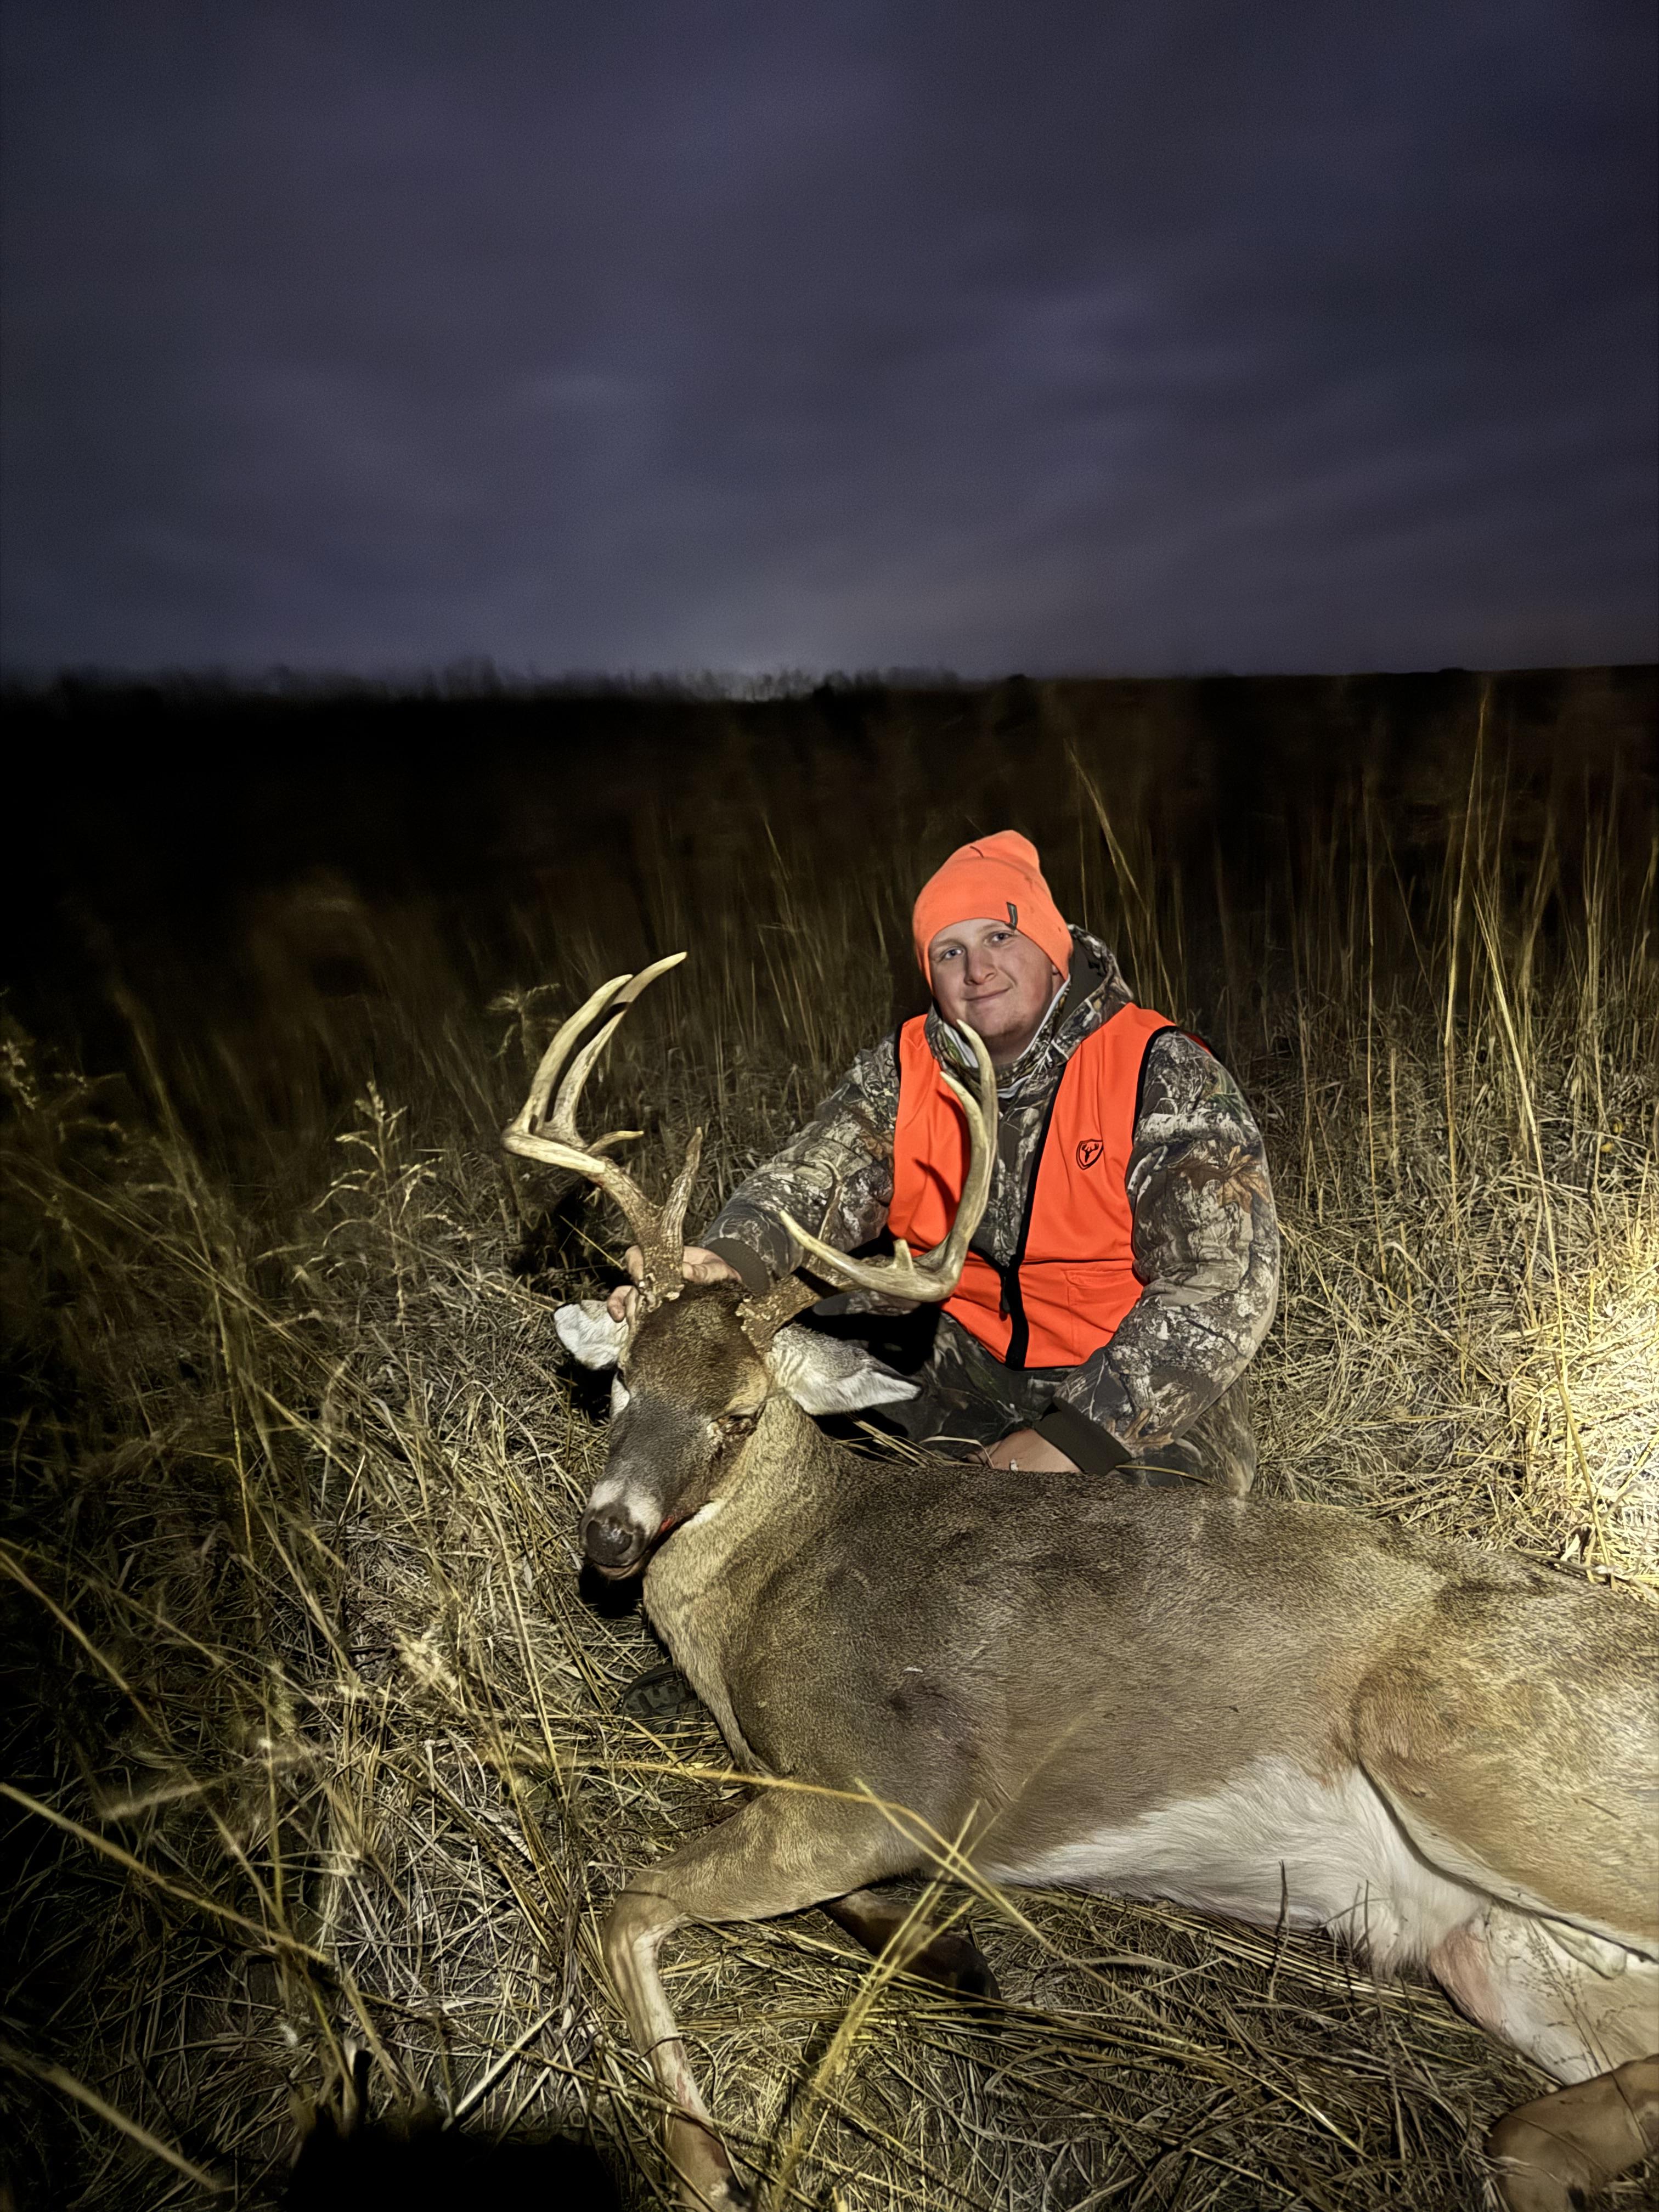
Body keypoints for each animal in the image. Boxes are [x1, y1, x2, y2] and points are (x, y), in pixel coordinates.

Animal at [503, 957, 1659, 2212]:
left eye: (741, 1415)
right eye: (621, 1379)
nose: (611, 1533)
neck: (775, 1581)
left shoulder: (899, 1786)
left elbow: (625, 1905)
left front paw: (708, 2163)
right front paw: (950, 1959)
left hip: (1461, 1755)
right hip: (1496, 1954)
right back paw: (1543, 2142)